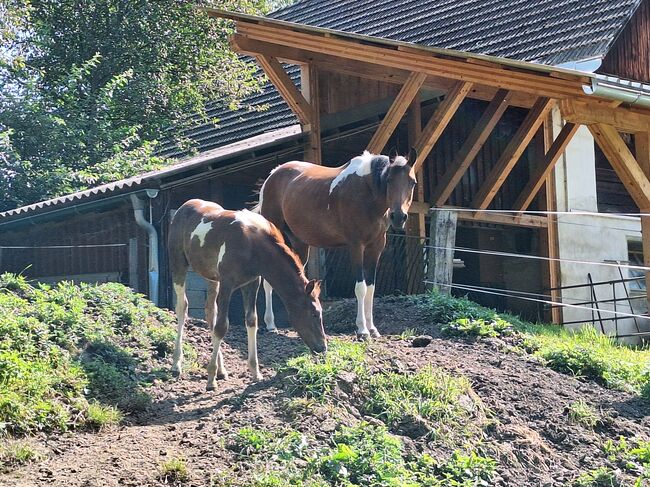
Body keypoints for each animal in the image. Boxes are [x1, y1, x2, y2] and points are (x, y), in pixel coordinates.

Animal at [167, 198, 326, 392]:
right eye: (314, 313)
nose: (322, 347)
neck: (252, 245)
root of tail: (183, 207)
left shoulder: (252, 283)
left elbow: (251, 321)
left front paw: (255, 372)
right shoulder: (227, 282)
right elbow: (222, 326)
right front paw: (210, 379)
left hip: (212, 277)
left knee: (210, 311)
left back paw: (221, 370)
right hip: (179, 264)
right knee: (182, 307)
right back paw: (177, 364)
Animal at [254, 152, 412, 340]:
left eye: (412, 182)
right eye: (389, 180)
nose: (399, 217)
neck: (368, 192)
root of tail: (273, 174)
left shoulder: (376, 246)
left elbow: (371, 288)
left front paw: (372, 328)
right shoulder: (356, 246)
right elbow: (360, 287)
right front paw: (362, 330)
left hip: (300, 243)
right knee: (268, 281)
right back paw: (271, 325)